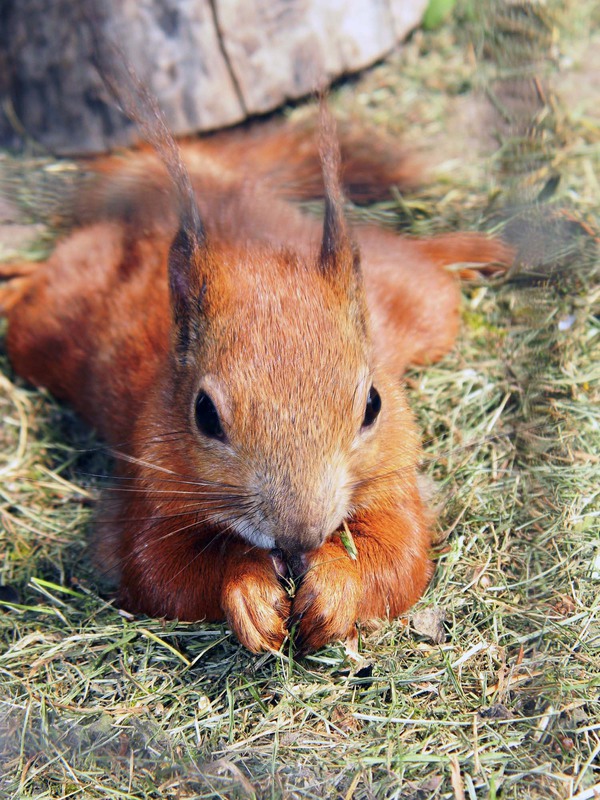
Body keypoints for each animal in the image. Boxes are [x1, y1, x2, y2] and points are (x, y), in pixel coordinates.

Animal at [0, 95, 510, 656]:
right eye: (203, 414)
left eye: (373, 404)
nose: (300, 537)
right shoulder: (147, 490)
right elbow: (160, 572)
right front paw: (248, 589)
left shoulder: (394, 476)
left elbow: (400, 559)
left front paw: (334, 587)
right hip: (47, 327)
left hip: (424, 308)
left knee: (416, 260)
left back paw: (480, 250)